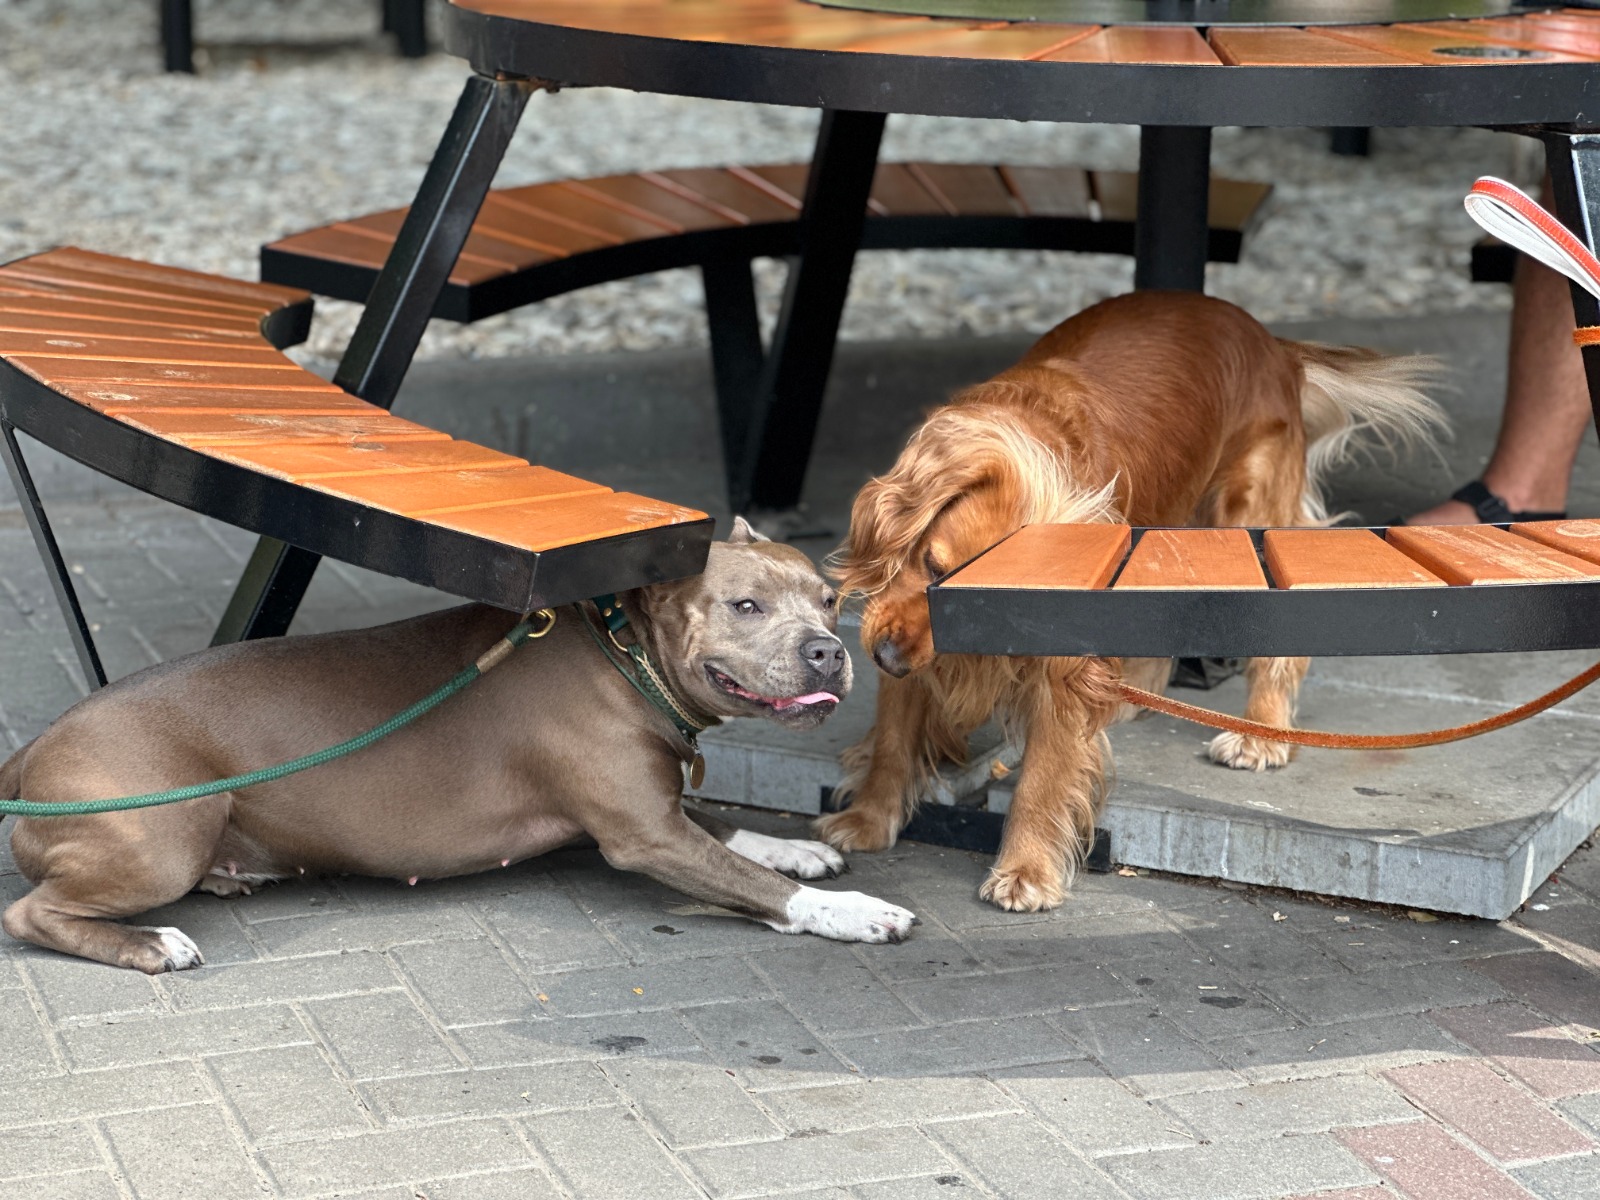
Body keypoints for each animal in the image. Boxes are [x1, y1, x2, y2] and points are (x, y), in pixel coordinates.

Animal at [0, 521, 921, 972]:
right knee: (33, 912)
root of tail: (30, 750)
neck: (622, 650)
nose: (827, 651)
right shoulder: (643, 833)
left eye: (829, 599)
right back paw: (150, 945)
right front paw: (856, 911)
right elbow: (758, 886)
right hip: (165, 836)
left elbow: (730, 832)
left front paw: (796, 849)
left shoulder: (654, 808)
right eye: (745, 607)